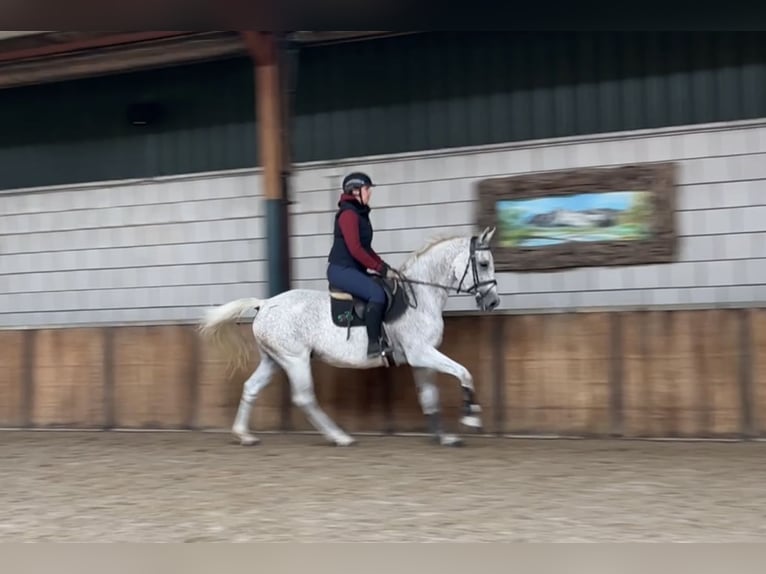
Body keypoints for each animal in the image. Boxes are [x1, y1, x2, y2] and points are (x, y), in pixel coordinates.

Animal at [198, 227, 500, 448]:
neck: (421, 296)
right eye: (484, 263)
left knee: (251, 387)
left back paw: (244, 435)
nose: (493, 302)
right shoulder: (421, 352)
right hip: (295, 359)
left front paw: (444, 437)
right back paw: (340, 436)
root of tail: (266, 303)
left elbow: (429, 396)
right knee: (304, 397)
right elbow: (464, 372)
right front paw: (471, 418)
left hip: (274, 359)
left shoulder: (422, 358)